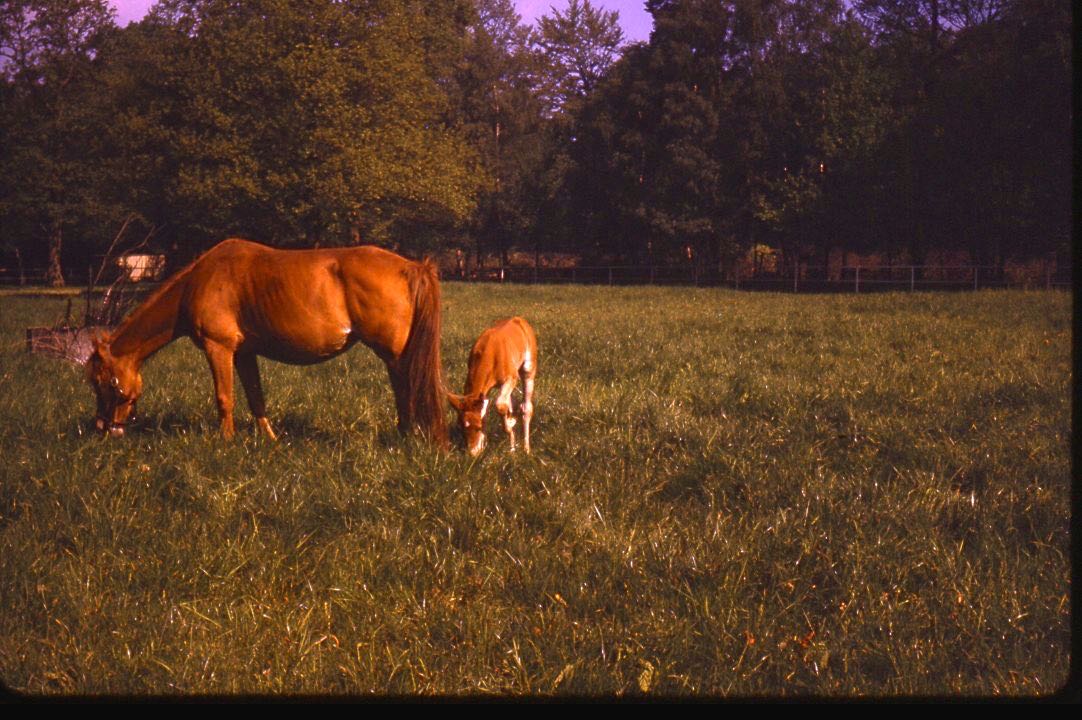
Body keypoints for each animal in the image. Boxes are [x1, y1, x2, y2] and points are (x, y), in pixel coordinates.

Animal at [83, 238, 447, 446]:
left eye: (104, 381)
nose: (103, 428)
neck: (199, 281)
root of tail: (410, 267)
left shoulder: (219, 348)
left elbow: (225, 398)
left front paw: (226, 442)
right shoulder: (244, 354)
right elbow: (256, 397)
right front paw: (268, 439)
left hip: (393, 354)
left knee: (405, 390)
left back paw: (407, 436)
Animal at [445, 316, 534, 454]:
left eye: (478, 426)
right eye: (460, 427)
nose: (473, 453)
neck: (490, 353)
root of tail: (519, 319)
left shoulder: (511, 378)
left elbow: (500, 405)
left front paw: (510, 424)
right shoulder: (484, 392)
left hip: (528, 369)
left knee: (526, 407)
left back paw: (526, 449)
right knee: (511, 402)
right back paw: (512, 447)